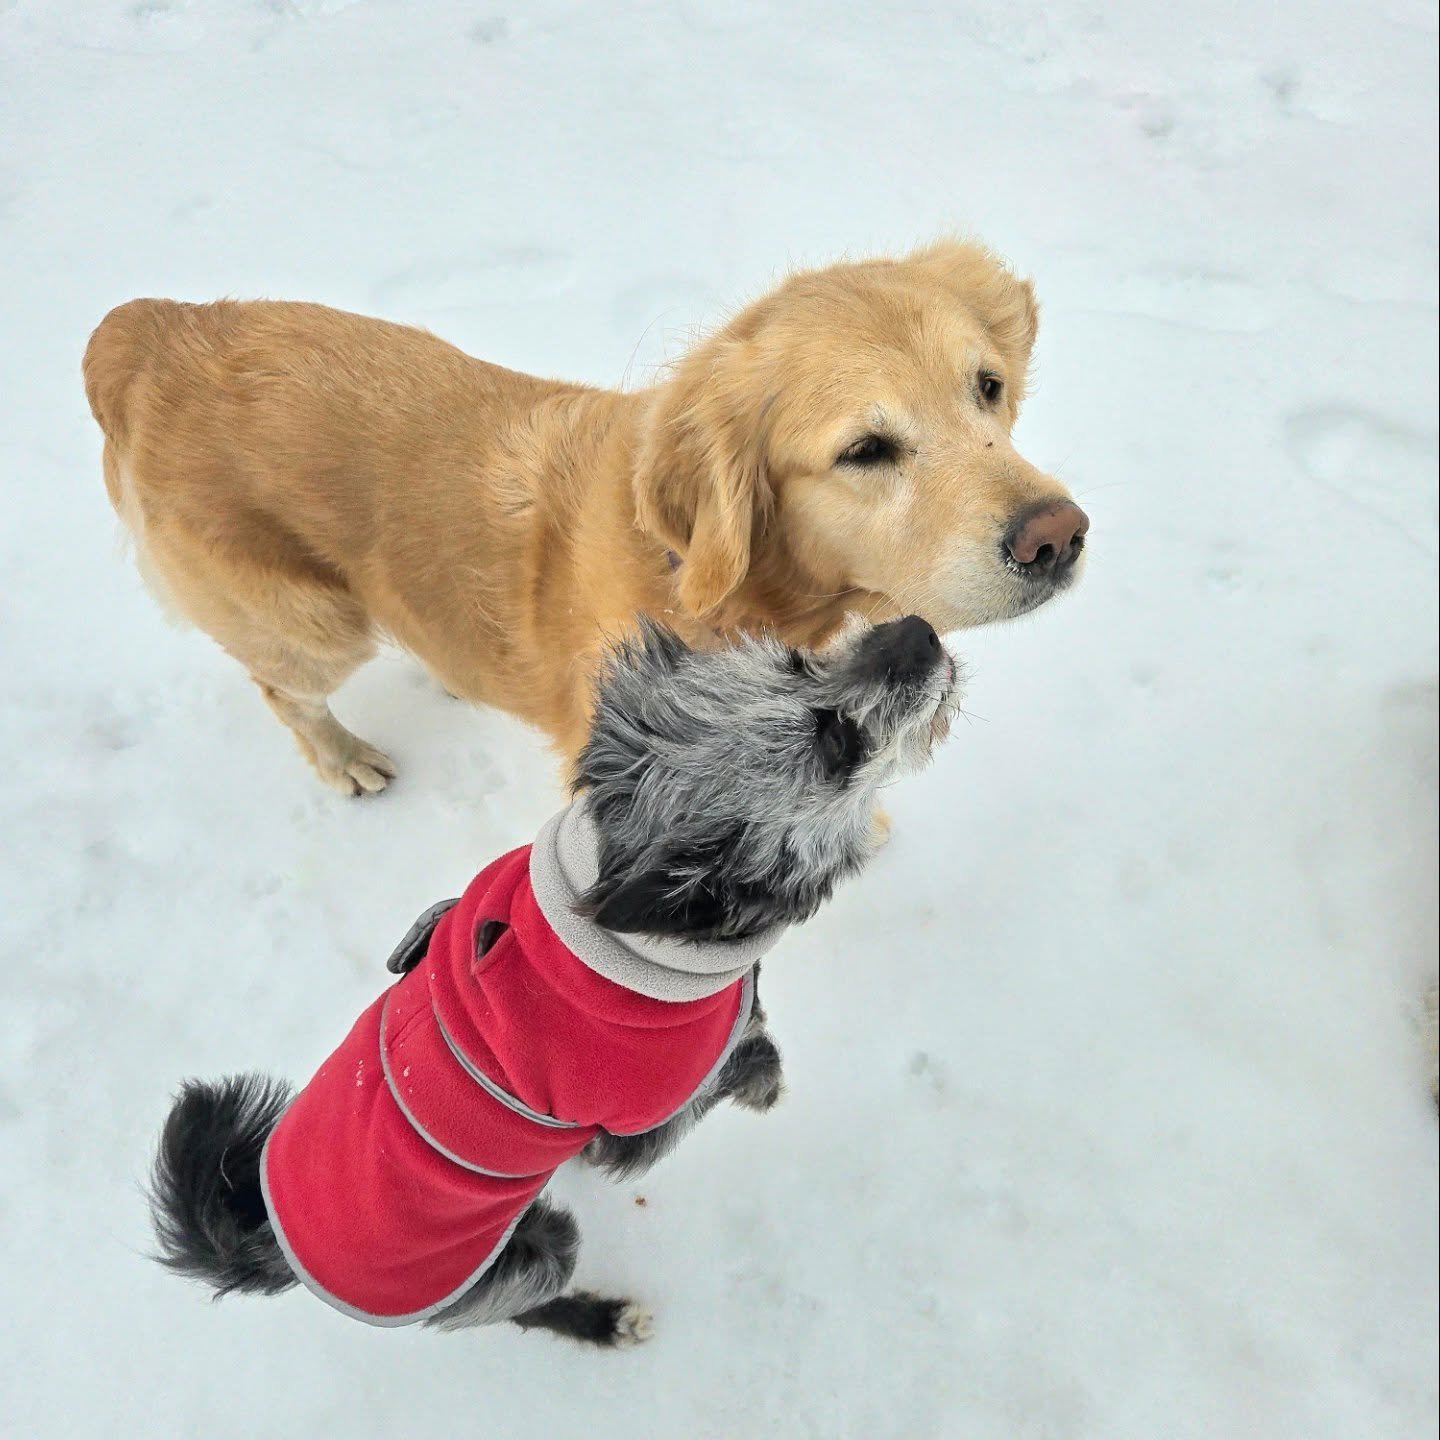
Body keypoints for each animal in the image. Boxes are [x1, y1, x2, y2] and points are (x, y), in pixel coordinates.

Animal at [84, 241, 1085, 793]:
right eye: (866, 450)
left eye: (988, 386)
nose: (1058, 536)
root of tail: (150, 330)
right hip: (314, 623)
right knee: (284, 691)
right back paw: (345, 759)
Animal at [149, 613, 964, 1343]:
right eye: (834, 741)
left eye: (796, 660)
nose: (919, 630)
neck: (644, 935)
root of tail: (269, 1245)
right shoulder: (635, 1129)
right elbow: (731, 1072)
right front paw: (762, 1072)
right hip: (523, 1260)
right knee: (531, 1305)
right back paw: (605, 1320)